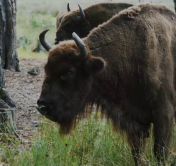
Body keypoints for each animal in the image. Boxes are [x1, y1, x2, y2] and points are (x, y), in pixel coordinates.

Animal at [37, 3, 175, 166]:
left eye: (69, 72)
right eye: (46, 70)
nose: (43, 107)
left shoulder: (164, 114)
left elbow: (160, 152)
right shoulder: (136, 121)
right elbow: (137, 153)